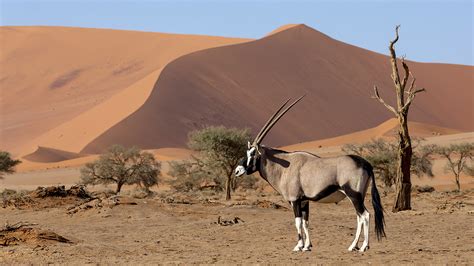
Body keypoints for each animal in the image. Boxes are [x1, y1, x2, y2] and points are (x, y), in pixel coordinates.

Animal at [233, 96, 386, 252]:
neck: (284, 166)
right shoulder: (304, 201)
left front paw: (298, 246)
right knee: (359, 217)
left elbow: (298, 222)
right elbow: (306, 222)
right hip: (357, 196)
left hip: (353, 194)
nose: (237, 170)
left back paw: (363, 246)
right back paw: (353, 246)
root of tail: (366, 163)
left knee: (365, 215)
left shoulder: (295, 200)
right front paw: (307, 246)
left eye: (252, 153)